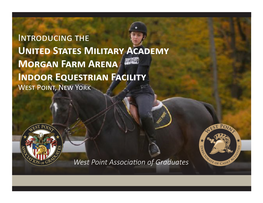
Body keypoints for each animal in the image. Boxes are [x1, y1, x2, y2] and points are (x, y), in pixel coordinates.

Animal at [50, 84, 221, 174]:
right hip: (183, 155)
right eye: (52, 108)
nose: (57, 136)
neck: (105, 124)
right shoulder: (96, 165)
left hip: (197, 154)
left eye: (64, 109)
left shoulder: (126, 166)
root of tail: (201, 104)